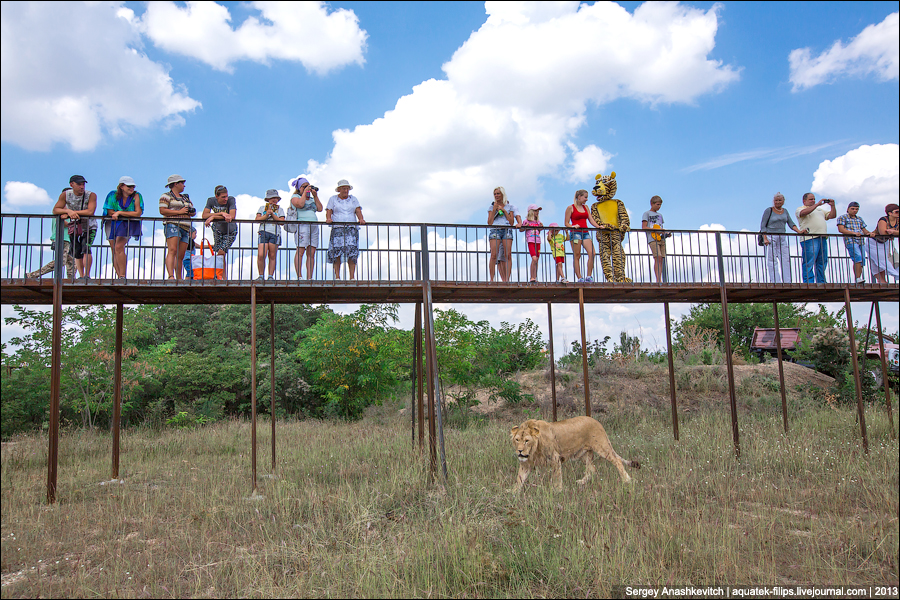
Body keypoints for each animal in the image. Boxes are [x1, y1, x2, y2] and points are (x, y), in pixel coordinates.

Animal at [512, 418, 640, 492]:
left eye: (527, 441)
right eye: (517, 440)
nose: (520, 451)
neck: (533, 450)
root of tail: (597, 421)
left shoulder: (555, 458)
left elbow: (557, 476)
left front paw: (558, 490)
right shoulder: (526, 464)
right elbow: (519, 478)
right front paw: (513, 492)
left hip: (602, 447)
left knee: (617, 461)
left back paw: (627, 480)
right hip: (582, 454)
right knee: (592, 470)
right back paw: (581, 482)